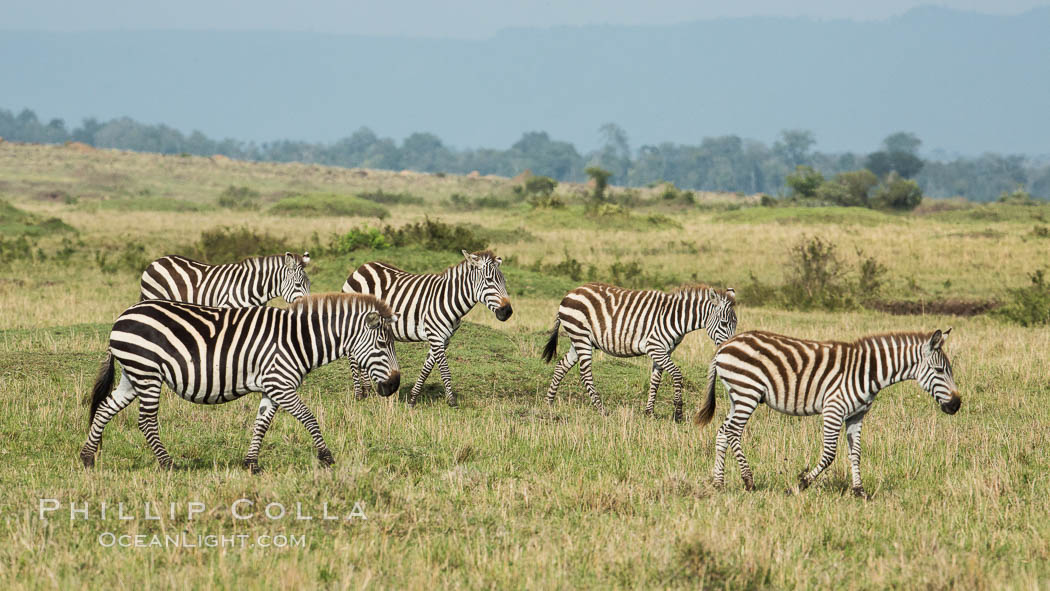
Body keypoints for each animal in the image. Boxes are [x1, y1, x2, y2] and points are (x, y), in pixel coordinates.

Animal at [78, 293, 401, 474]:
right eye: (382, 344)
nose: (395, 386)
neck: (298, 340)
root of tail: (122, 316)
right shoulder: (281, 384)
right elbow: (309, 418)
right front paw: (326, 458)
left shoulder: (272, 388)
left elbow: (262, 424)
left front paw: (251, 464)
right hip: (147, 372)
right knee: (146, 421)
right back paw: (168, 464)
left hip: (134, 375)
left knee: (105, 409)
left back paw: (87, 458)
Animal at [340, 249, 512, 407]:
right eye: (489, 280)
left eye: (504, 281)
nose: (507, 312)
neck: (448, 299)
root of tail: (361, 268)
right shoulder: (436, 336)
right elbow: (445, 371)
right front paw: (452, 401)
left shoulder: (444, 339)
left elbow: (427, 368)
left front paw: (412, 399)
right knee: (352, 357)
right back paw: (358, 394)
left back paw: (367, 391)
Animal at [541, 283, 739, 417]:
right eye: (724, 323)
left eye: (735, 324)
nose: (730, 348)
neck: (675, 317)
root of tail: (570, 293)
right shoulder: (655, 347)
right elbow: (676, 374)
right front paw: (678, 413)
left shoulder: (664, 351)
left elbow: (655, 381)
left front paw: (649, 412)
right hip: (580, 336)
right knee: (585, 373)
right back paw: (601, 409)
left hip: (580, 340)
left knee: (561, 366)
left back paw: (549, 403)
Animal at [697, 331, 961, 497]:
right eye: (939, 370)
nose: (956, 404)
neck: (868, 373)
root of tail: (725, 346)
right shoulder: (834, 409)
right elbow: (829, 455)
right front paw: (799, 485)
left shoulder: (856, 415)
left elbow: (856, 454)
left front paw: (859, 491)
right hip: (747, 391)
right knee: (733, 431)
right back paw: (748, 480)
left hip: (737, 395)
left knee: (722, 431)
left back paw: (718, 482)